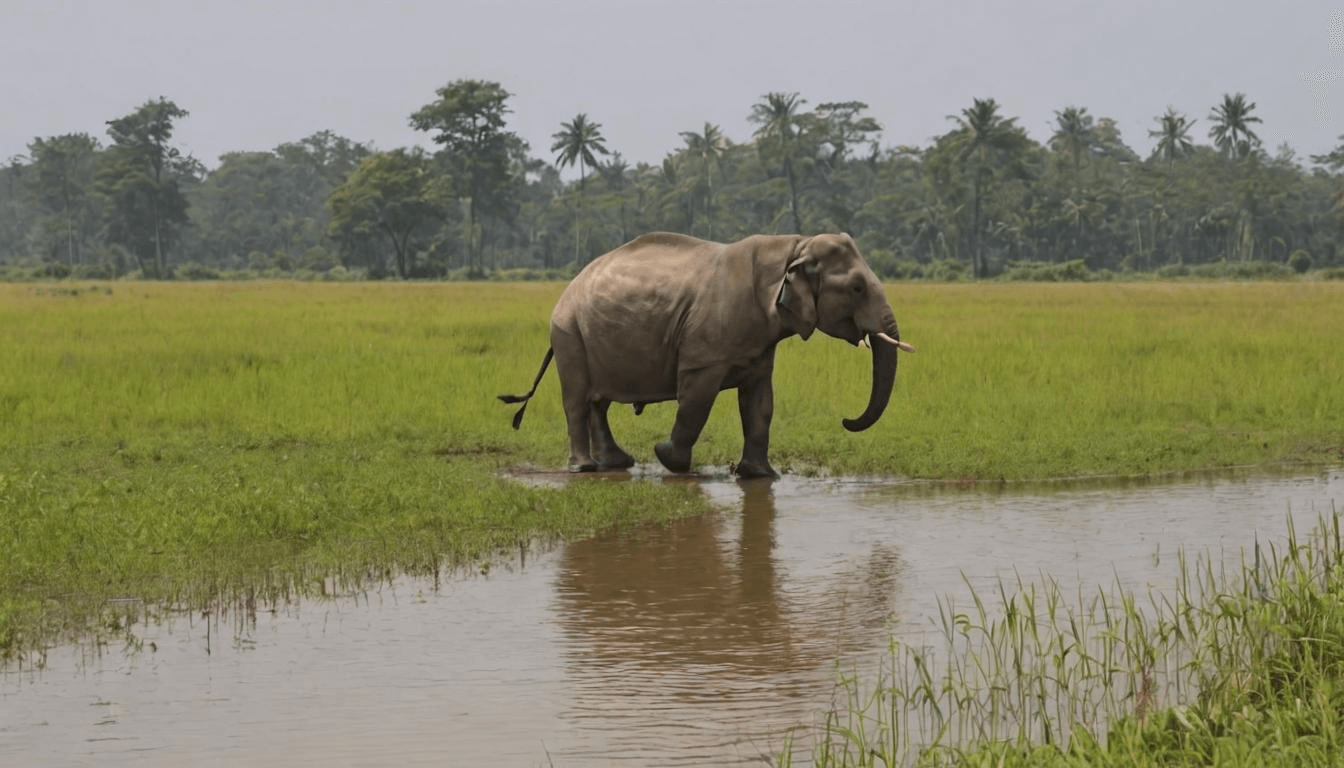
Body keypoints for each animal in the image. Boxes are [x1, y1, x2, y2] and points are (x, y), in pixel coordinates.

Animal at [505, 231, 913, 478]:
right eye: (857, 288)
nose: (845, 420)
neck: (794, 246)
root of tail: (567, 290)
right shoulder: (705, 345)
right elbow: (698, 398)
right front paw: (669, 459)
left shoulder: (761, 340)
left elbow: (760, 401)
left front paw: (759, 476)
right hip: (569, 334)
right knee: (577, 399)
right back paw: (585, 469)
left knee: (597, 403)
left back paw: (617, 465)